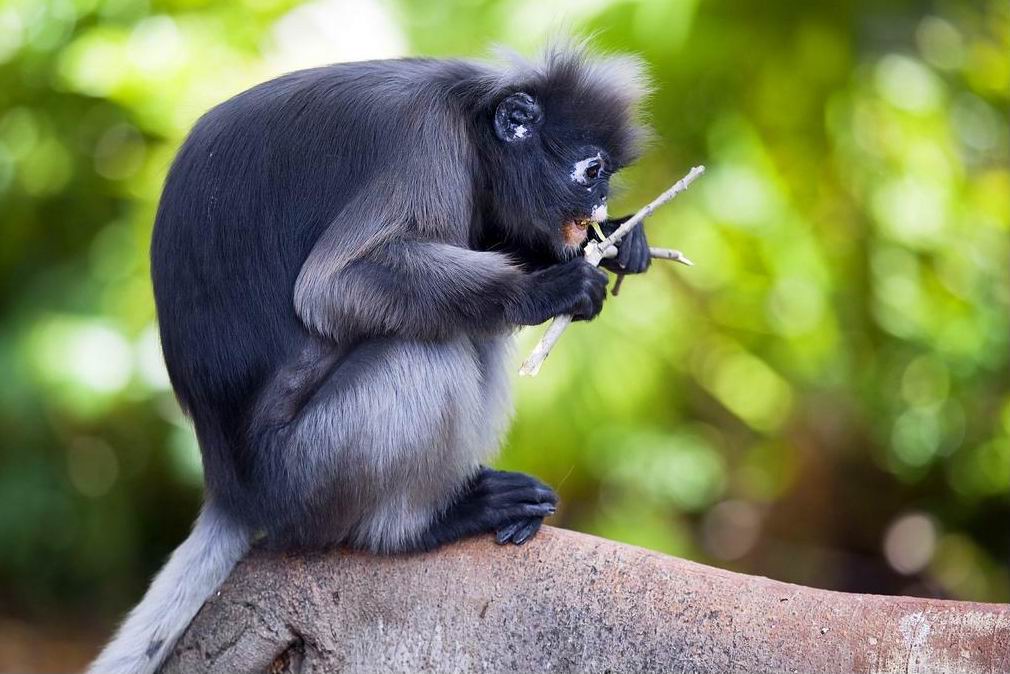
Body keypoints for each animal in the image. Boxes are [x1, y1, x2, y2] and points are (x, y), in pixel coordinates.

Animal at [88, 43, 652, 673]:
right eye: (593, 170)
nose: (602, 202)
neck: (468, 116)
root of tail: (230, 488)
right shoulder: (425, 144)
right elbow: (333, 287)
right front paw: (548, 288)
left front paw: (620, 241)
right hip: (309, 473)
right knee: (427, 349)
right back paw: (424, 524)